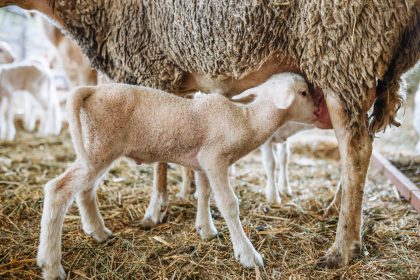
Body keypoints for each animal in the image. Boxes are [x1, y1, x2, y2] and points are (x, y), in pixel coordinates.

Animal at [36, 72, 316, 280]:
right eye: (303, 92)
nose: (317, 112)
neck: (246, 119)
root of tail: (91, 91)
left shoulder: (202, 162)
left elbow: (204, 193)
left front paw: (205, 229)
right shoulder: (215, 158)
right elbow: (228, 204)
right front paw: (248, 255)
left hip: (96, 147)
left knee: (85, 189)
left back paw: (98, 232)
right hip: (100, 146)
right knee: (58, 189)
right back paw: (51, 265)